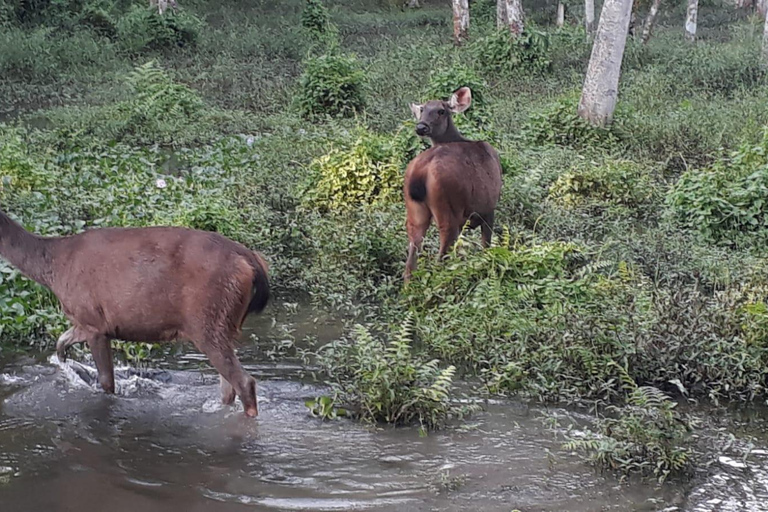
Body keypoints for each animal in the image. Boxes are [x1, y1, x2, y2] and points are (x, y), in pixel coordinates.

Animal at [0, 210, 270, 418]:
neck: (52, 269)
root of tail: (251, 260)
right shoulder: (84, 321)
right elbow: (60, 343)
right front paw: (68, 367)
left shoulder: (95, 322)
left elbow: (107, 383)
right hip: (227, 323)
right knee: (228, 387)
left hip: (207, 320)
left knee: (244, 382)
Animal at [402, 86, 504, 282]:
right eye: (422, 109)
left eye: (441, 111)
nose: (421, 126)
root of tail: (420, 171)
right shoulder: (489, 208)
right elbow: (486, 247)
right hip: (448, 210)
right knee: (442, 257)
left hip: (415, 212)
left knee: (410, 263)